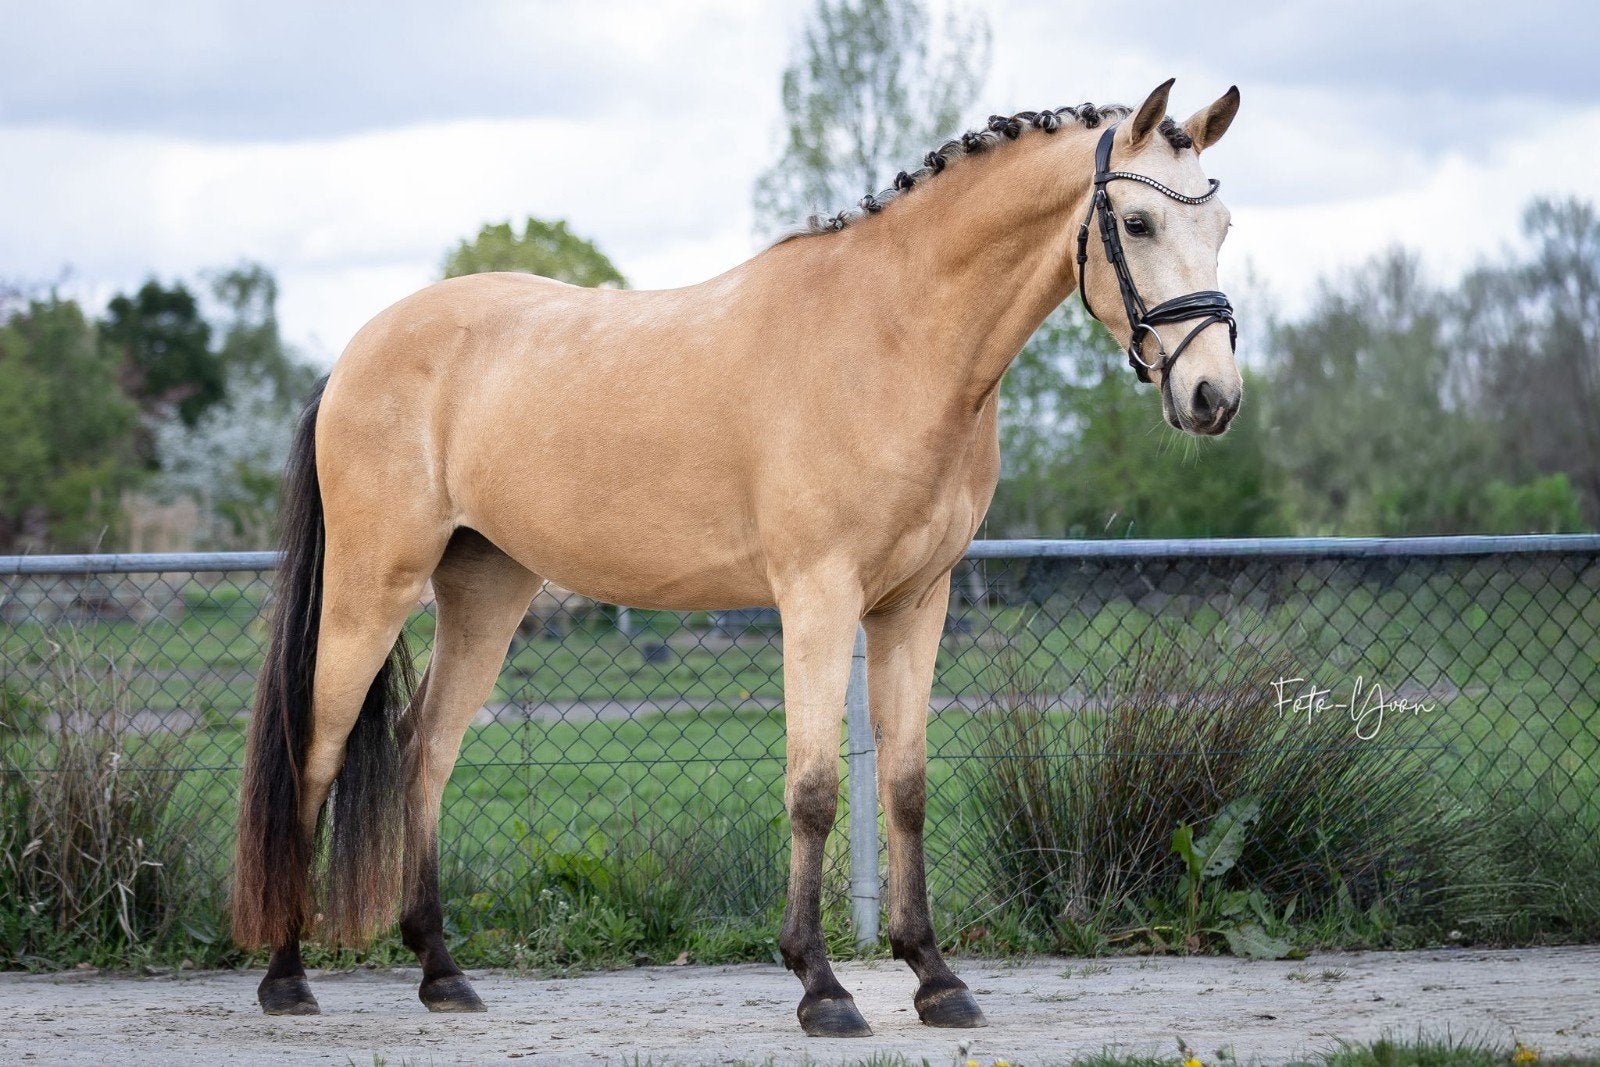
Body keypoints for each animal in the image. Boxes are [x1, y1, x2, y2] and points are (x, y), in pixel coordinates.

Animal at [232, 78, 1242, 1037]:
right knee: (315, 753)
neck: (892, 336)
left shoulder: (916, 602)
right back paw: (286, 977)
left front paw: (936, 979)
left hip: (486, 589)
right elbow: (815, 788)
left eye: (1222, 224)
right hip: (373, 587)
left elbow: (906, 786)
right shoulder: (818, 598)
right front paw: (822, 986)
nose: (1212, 396)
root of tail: (356, 353)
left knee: (425, 752)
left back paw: (442, 973)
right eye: (1140, 222)